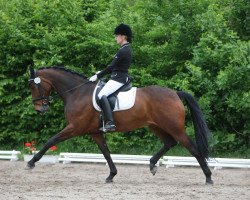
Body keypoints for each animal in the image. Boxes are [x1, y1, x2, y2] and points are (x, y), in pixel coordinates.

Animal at [28, 66, 214, 185]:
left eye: (33, 86)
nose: (40, 109)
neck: (77, 92)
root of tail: (175, 93)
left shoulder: (74, 127)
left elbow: (51, 141)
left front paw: (31, 162)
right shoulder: (95, 132)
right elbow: (106, 152)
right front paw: (111, 175)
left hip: (175, 128)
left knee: (192, 148)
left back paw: (208, 177)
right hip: (156, 126)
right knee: (169, 142)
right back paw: (152, 164)